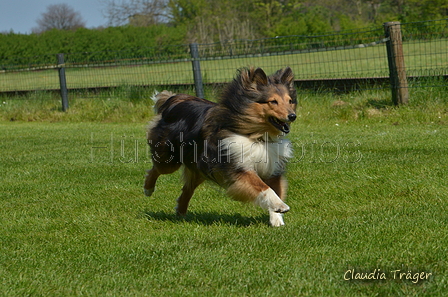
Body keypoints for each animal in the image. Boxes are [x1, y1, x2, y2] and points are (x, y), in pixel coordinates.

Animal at [144, 66, 298, 224]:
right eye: (273, 101)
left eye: (290, 101)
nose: (292, 116)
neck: (257, 136)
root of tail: (175, 100)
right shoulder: (239, 167)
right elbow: (264, 188)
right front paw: (280, 206)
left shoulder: (272, 168)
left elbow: (276, 189)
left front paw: (277, 219)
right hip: (170, 160)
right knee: (156, 169)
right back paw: (148, 189)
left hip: (201, 167)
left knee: (187, 189)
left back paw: (181, 214)